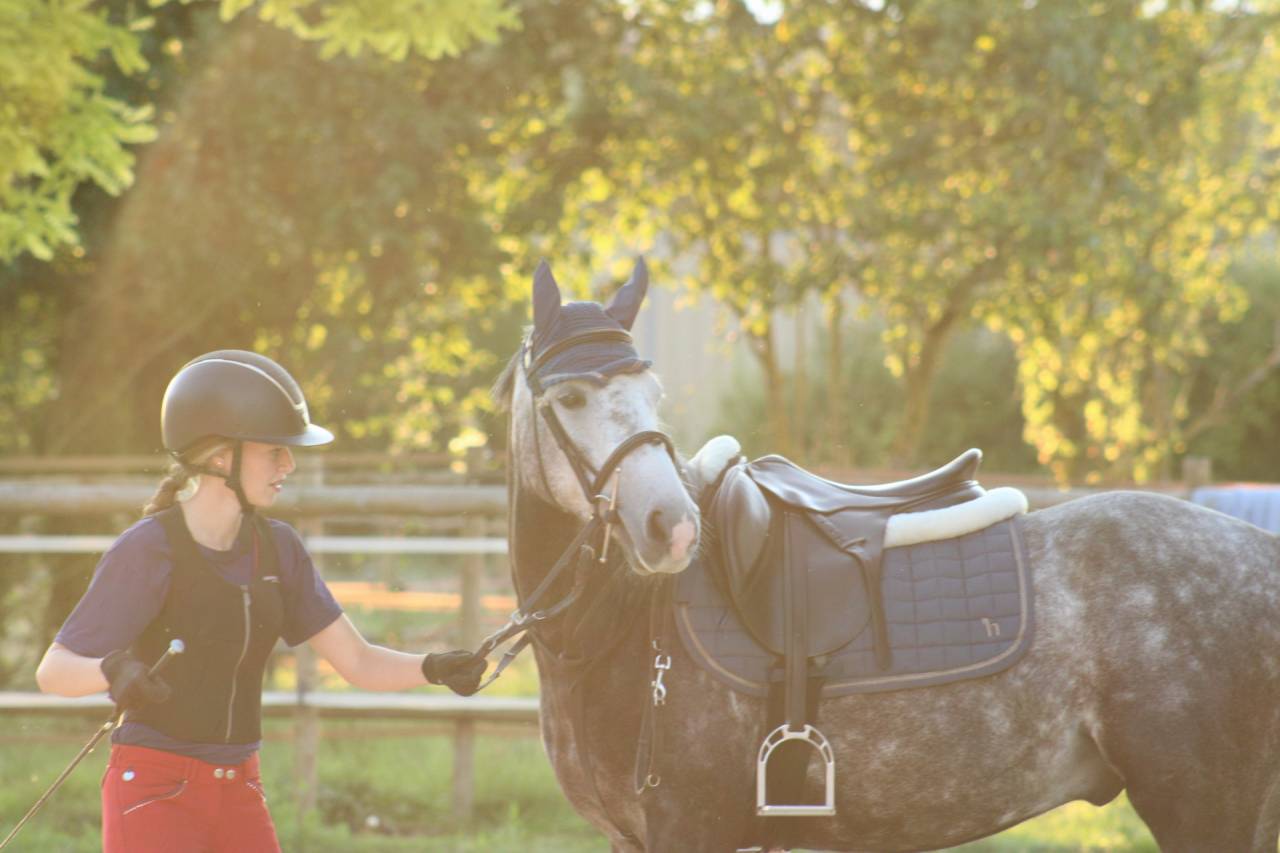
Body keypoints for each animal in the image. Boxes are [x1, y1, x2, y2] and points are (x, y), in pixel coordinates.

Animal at [487, 258, 1280, 852]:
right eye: (571, 399)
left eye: (650, 390)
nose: (672, 526)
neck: (614, 631)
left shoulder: (691, 828)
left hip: (1206, 812)